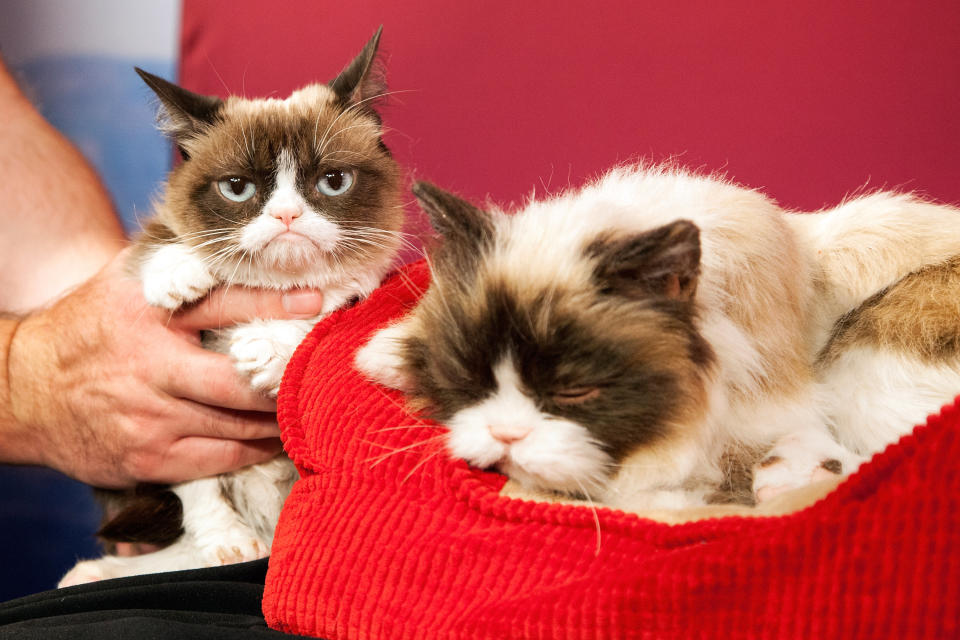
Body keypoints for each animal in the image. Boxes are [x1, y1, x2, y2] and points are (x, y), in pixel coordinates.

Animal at [59, 27, 404, 588]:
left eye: (333, 181)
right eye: (237, 188)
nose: (286, 215)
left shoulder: (365, 286)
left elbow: (332, 308)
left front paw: (266, 347)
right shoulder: (175, 425)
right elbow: (196, 483)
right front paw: (178, 271)